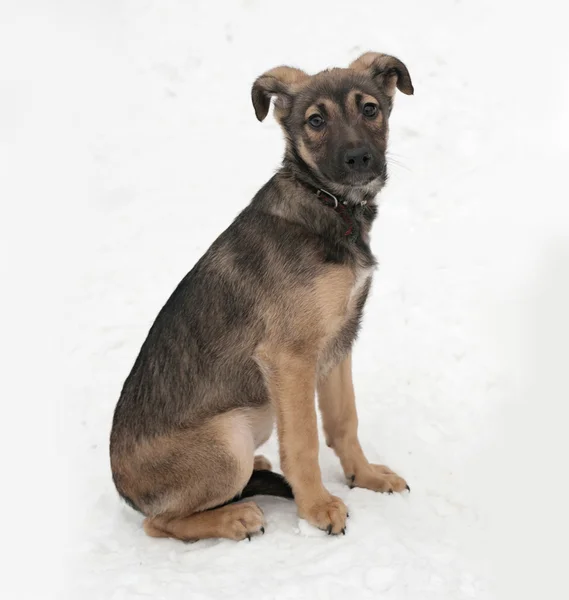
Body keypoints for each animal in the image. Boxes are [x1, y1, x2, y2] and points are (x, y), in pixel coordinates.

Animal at [110, 50, 412, 540]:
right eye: (315, 121)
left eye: (370, 109)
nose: (359, 158)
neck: (326, 203)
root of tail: (125, 491)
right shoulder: (290, 358)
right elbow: (304, 440)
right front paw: (317, 508)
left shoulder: (338, 343)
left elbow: (344, 421)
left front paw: (364, 476)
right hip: (228, 437)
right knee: (158, 523)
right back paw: (234, 517)